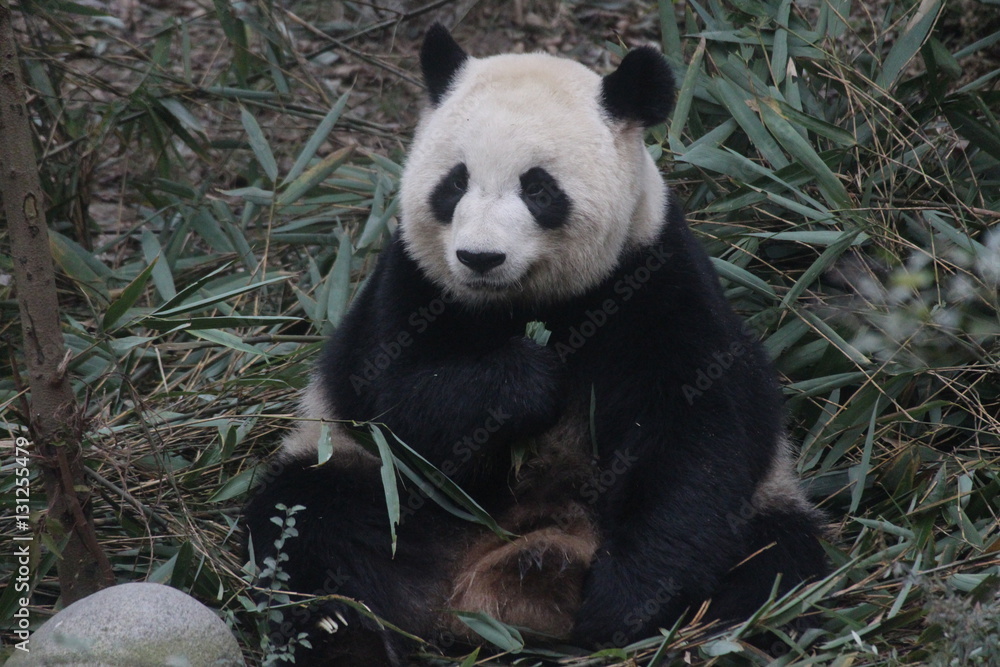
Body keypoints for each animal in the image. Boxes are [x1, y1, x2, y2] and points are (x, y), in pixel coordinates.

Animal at [245, 24, 828, 666]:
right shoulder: (410, 285)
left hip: (765, 505)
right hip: (378, 489)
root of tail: (476, 594)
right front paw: (526, 381)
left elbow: (699, 435)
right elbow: (391, 400)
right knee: (314, 527)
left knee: (773, 567)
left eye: (538, 189)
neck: (525, 302)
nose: (479, 257)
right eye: (455, 182)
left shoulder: (655, 280)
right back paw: (344, 635)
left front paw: (626, 603)